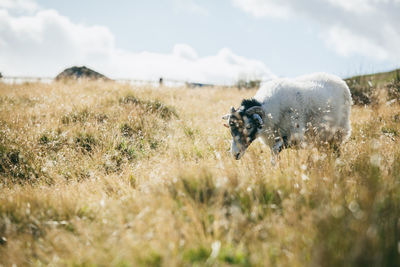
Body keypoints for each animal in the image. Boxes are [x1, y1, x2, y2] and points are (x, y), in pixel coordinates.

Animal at [223, 73, 352, 161]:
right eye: (230, 127)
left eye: (249, 126)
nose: (235, 154)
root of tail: (339, 79)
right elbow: (275, 157)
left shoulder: (294, 137)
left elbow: (276, 152)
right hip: (323, 137)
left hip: (338, 132)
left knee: (336, 151)